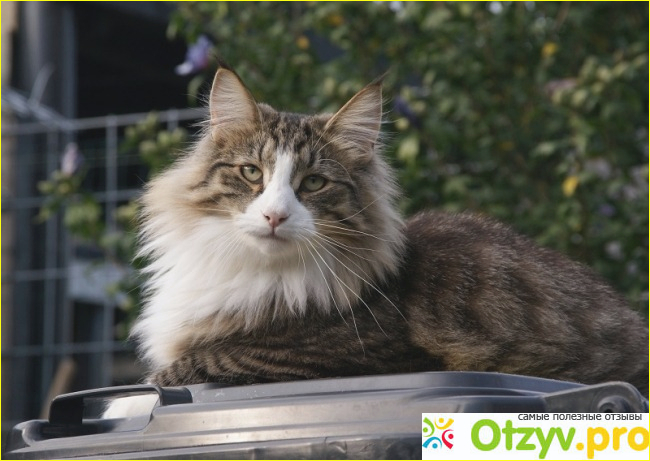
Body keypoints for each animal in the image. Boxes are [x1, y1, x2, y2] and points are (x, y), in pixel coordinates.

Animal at [110, 65, 648, 417]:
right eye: (251, 173)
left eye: (313, 184)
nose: (274, 215)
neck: (259, 271)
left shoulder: (341, 355)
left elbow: (187, 367)